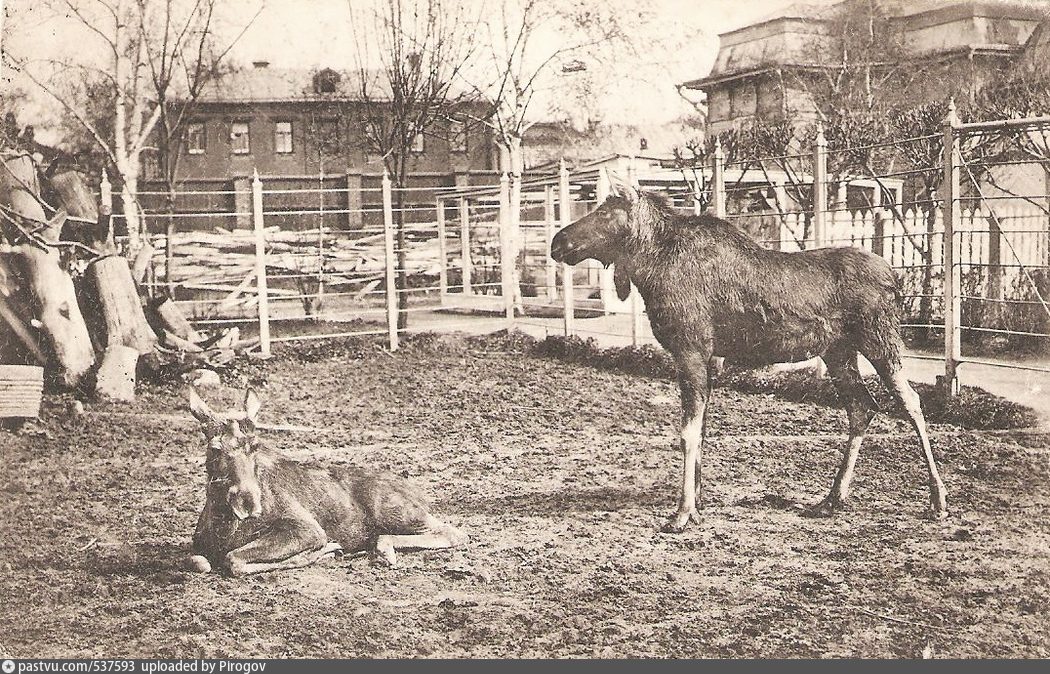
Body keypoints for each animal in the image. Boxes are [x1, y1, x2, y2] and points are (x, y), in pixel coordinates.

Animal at [554, 176, 949, 533]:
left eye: (605, 211)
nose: (558, 242)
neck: (651, 270)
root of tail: (896, 279)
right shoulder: (708, 357)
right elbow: (702, 429)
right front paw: (698, 501)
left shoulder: (690, 349)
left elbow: (687, 433)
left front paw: (683, 512)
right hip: (838, 351)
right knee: (862, 407)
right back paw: (831, 499)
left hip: (879, 338)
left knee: (910, 402)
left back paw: (937, 499)